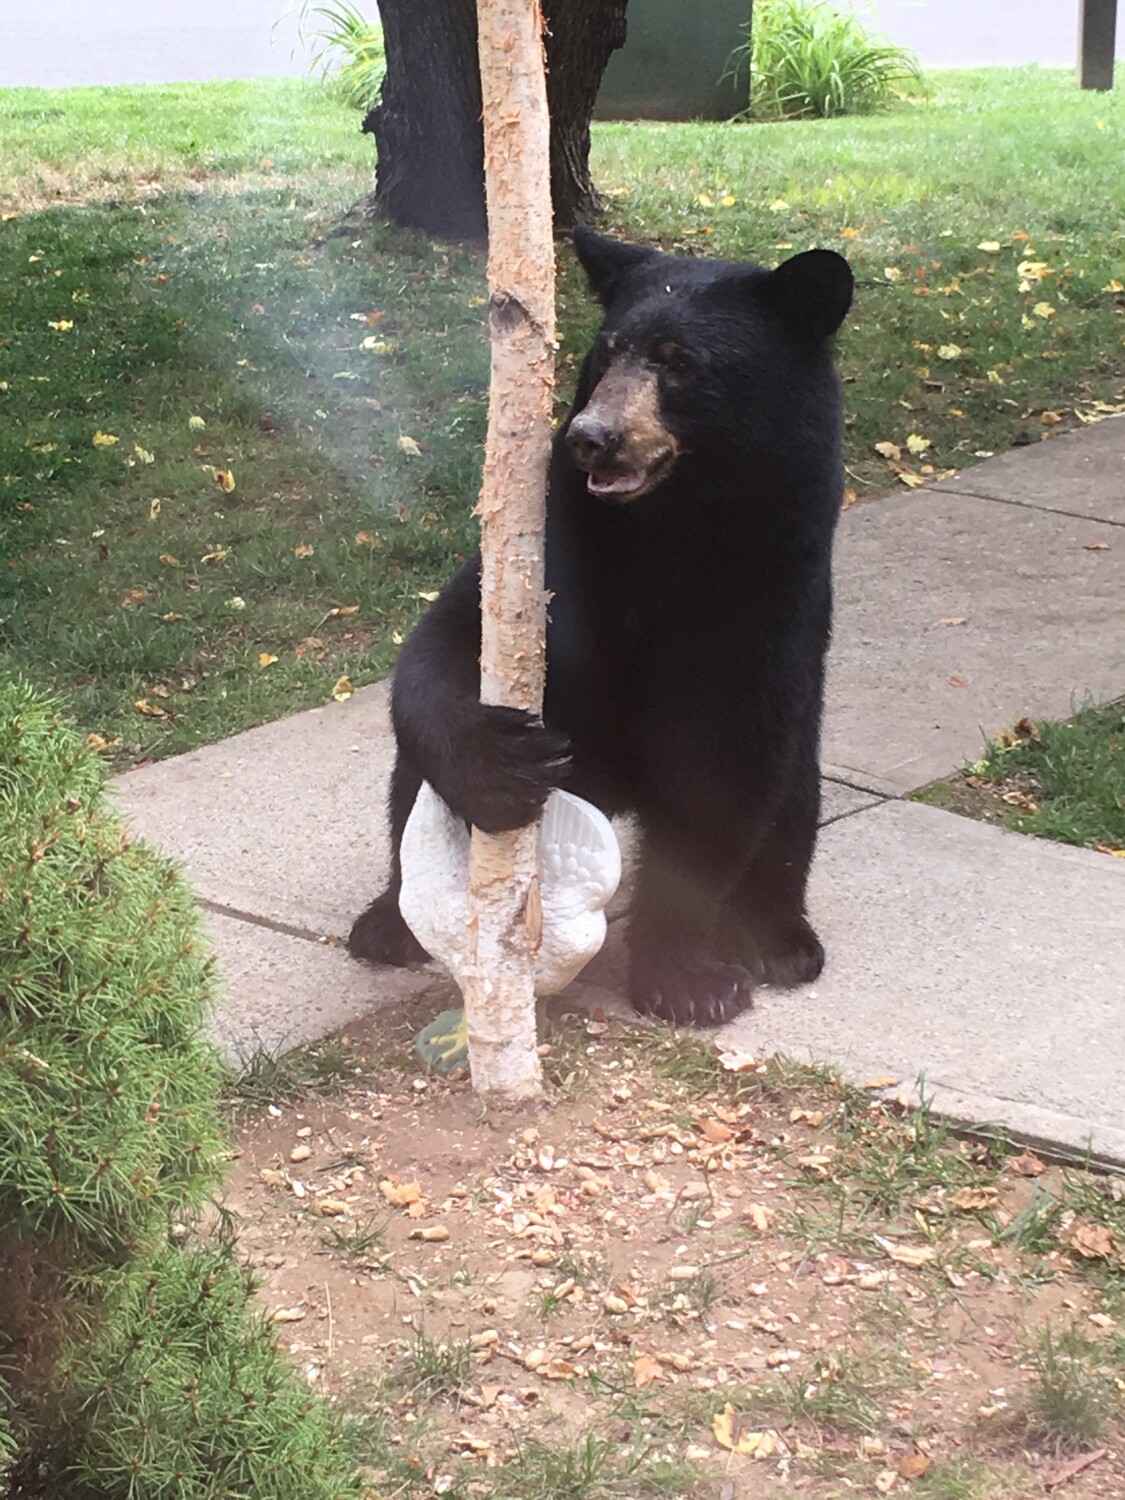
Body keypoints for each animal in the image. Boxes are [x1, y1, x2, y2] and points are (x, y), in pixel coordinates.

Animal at [347, 225, 853, 1028]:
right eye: (607, 351)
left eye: (681, 362)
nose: (592, 435)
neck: (665, 529)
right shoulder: (553, 548)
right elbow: (445, 645)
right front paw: (503, 764)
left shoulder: (769, 583)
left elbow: (724, 758)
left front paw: (686, 977)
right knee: (407, 789)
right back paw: (387, 921)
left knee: (792, 807)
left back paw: (779, 939)